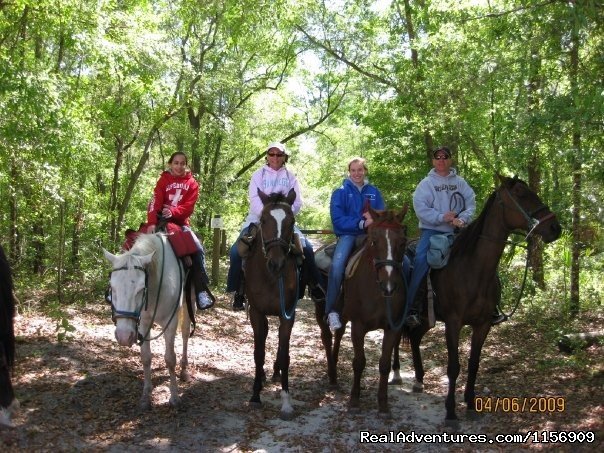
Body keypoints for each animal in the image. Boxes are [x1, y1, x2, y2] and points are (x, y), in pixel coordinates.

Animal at [101, 233, 191, 410]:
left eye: (141, 289)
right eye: (112, 288)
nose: (123, 336)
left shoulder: (170, 322)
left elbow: (170, 358)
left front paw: (174, 397)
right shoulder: (142, 323)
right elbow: (146, 357)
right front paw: (146, 395)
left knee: (185, 333)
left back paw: (184, 369)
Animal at [314, 207, 408, 414]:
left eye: (402, 241)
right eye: (374, 240)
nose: (389, 286)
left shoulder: (393, 328)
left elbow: (384, 364)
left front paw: (383, 402)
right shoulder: (358, 326)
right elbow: (359, 362)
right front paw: (354, 399)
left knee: (339, 333)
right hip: (321, 309)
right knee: (327, 336)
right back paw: (331, 375)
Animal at [392, 175, 560, 426]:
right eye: (520, 193)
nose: (555, 227)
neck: (473, 270)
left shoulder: (483, 325)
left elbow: (474, 364)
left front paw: (471, 404)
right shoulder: (453, 323)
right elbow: (453, 367)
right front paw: (451, 412)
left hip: (427, 319)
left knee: (414, 338)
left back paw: (419, 379)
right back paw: (395, 374)